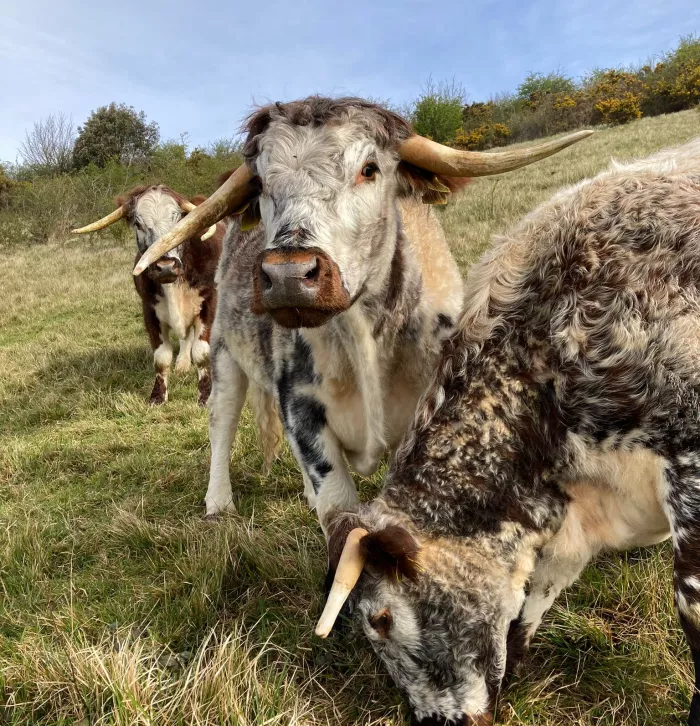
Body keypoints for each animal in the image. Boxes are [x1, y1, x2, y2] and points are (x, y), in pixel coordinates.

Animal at [73, 188, 221, 410]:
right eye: (138, 223)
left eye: (178, 220)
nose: (166, 266)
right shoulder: (150, 311)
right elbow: (161, 357)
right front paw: (158, 396)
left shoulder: (209, 303)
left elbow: (202, 353)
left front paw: (206, 395)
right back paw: (182, 364)